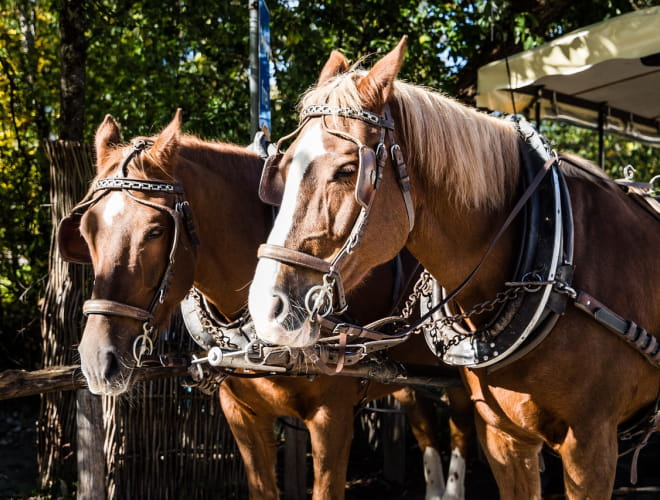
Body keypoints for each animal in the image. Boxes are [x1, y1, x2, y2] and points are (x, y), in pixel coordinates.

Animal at [54, 112, 472, 500]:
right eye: (87, 231)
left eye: (156, 231)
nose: (98, 360)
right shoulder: (242, 414)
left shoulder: (332, 416)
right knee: (424, 422)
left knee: (462, 426)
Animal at [248, 37, 660, 498]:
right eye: (282, 168)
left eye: (349, 169)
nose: (267, 307)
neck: (555, 271)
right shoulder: (504, 437)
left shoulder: (591, 447)